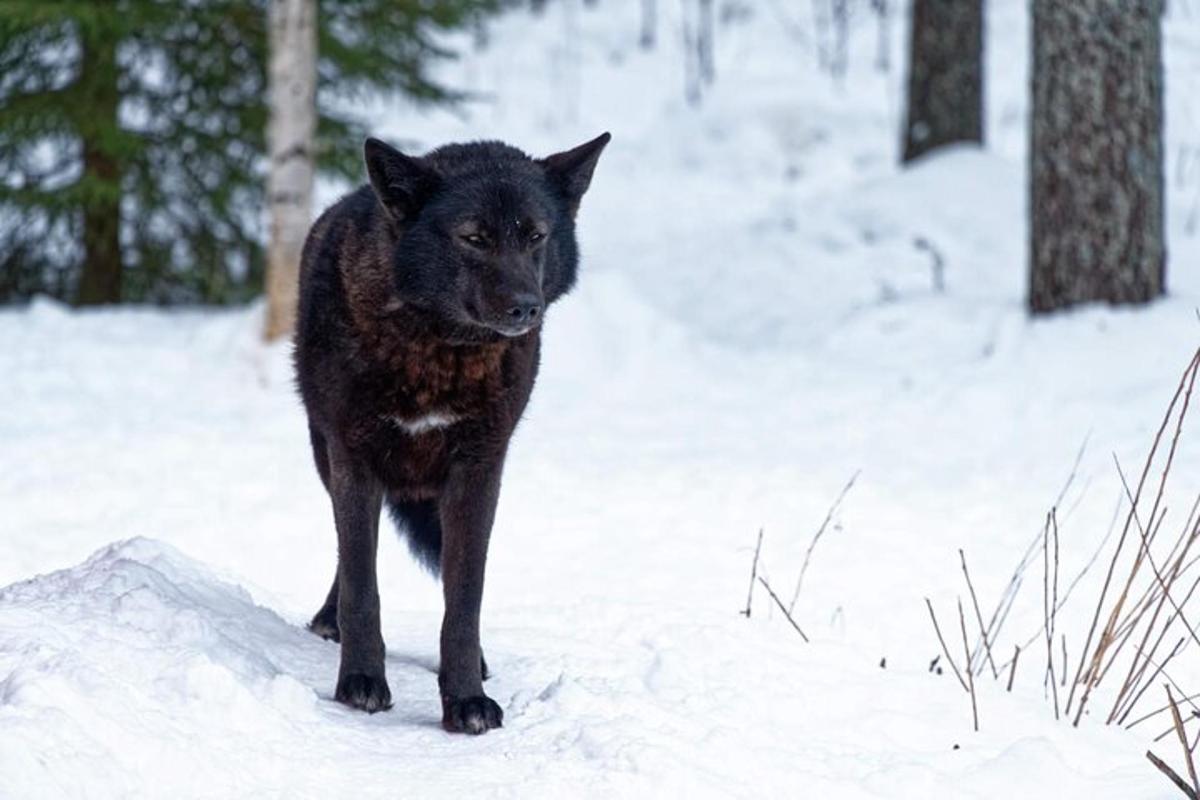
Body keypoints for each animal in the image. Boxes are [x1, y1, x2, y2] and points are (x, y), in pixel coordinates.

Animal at [291, 134, 609, 734]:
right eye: (474, 237)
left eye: (535, 235)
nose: (526, 308)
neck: (440, 352)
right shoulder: (354, 459)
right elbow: (363, 586)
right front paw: (360, 682)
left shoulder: (480, 469)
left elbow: (465, 597)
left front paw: (465, 700)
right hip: (325, 456)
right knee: (349, 556)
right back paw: (328, 621)